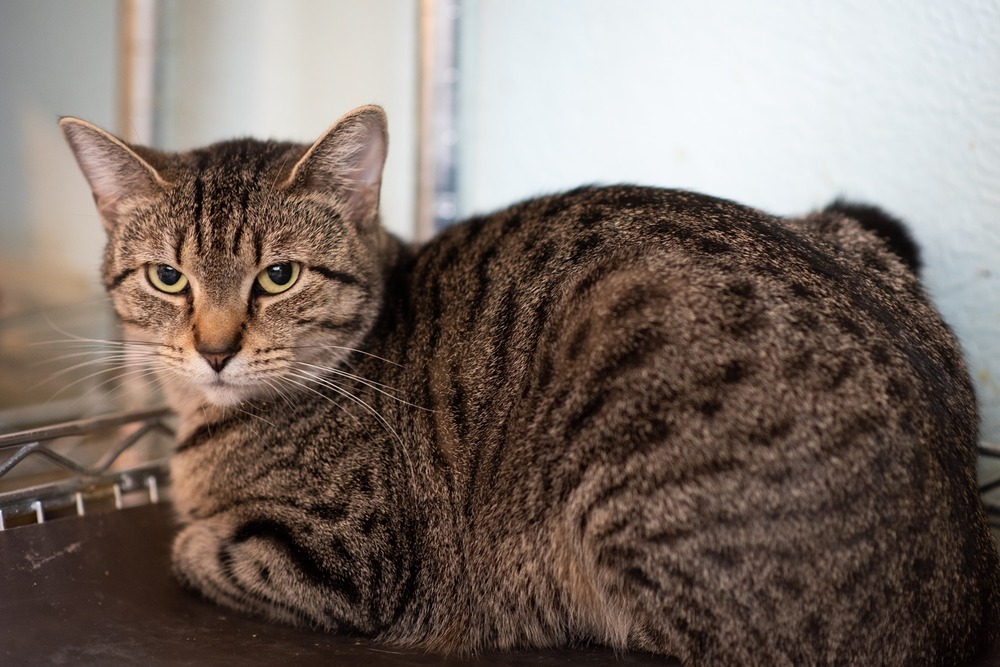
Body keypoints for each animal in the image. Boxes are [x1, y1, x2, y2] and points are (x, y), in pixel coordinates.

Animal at [60, 107, 1000, 664]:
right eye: (169, 278)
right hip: (858, 227)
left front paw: (192, 530)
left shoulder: (349, 561)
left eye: (279, 276)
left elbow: (194, 548)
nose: (215, 349)